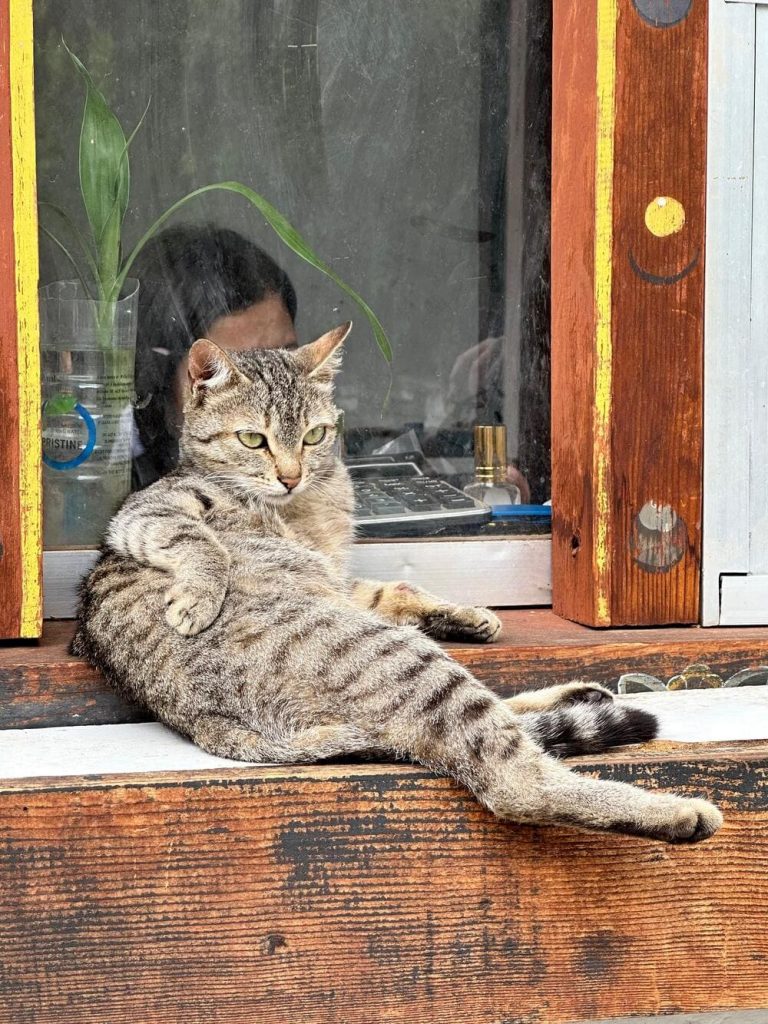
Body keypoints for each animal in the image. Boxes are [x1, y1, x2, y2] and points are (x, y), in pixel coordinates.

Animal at [70, 323, 720, 843]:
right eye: (253, 439)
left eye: (314, 435)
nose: (290, 476)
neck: (308, 508)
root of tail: (214, 727)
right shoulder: (149, 511)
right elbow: (199, 543)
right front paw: (198, 596)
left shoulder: (336, 576)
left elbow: (392, 590)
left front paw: (469, 615)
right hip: (405, 666)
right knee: (513, 777)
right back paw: (677, 813)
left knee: (495, 722)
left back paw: (580, 694)